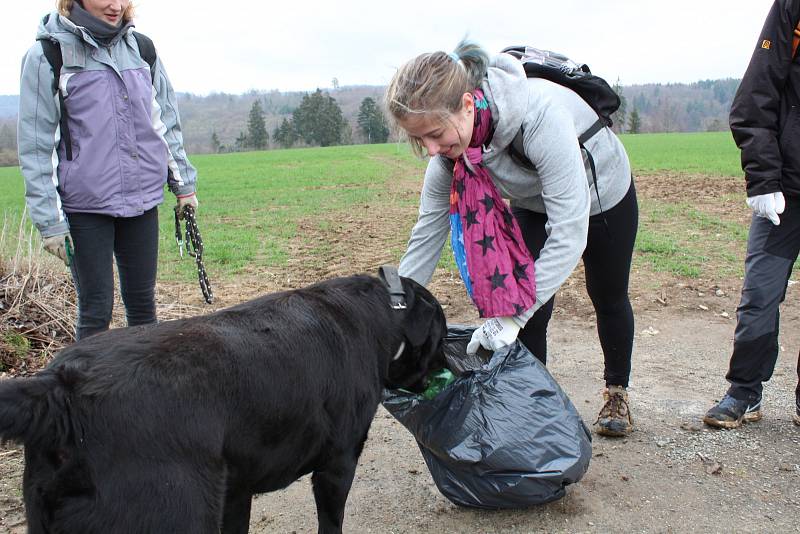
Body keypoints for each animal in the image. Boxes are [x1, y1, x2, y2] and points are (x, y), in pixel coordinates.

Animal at [0, 274, 446, 532]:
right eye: (440, 337)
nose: (446, 369)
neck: (382, 310)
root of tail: (61, 388)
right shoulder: (338, 464)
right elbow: (331, 521)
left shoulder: (236, 491)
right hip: (176, 511)